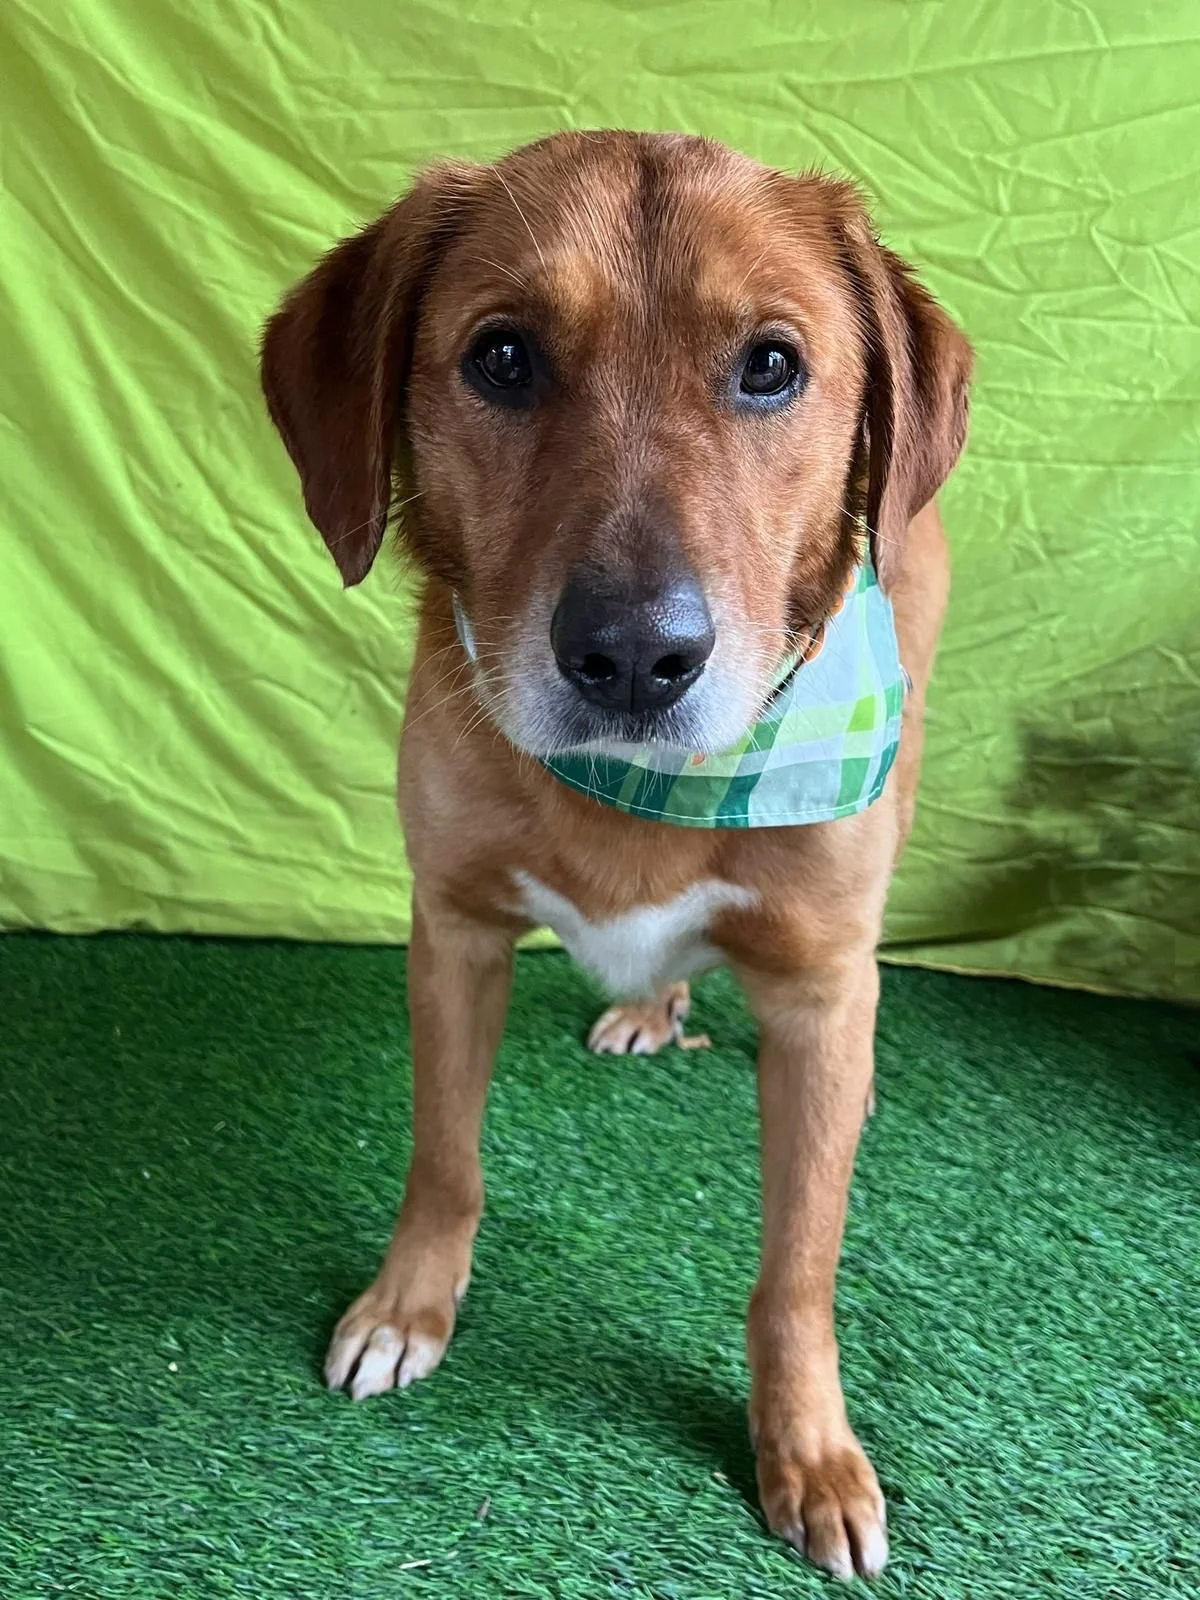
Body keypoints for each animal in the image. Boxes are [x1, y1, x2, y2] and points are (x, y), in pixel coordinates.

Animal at [261, 130, 971, 1580]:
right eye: (503, 357)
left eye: (771, 364)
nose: (638, 656)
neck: (641, 800)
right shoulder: (454, 932)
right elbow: (446, 1158)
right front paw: (410, 1307)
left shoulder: (817, 987)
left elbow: (798, 1269)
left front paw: (808, 1452)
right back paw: (654, 1002)